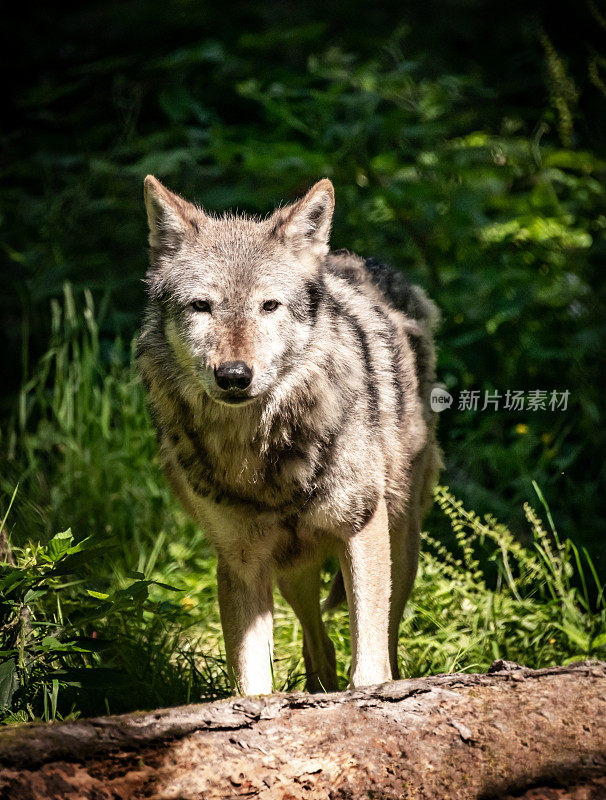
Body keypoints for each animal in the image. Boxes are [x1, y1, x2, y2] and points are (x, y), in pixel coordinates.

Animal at [138, 177, 442, 692]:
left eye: (269, 306)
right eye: (201, 306)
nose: (234, 375)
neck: (262, 455)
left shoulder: (360, 529)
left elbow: (370, 664)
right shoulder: (240, 561)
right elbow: (252, 680)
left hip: (400, 545)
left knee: (386, 638)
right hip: (290, 566)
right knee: (319, 643)